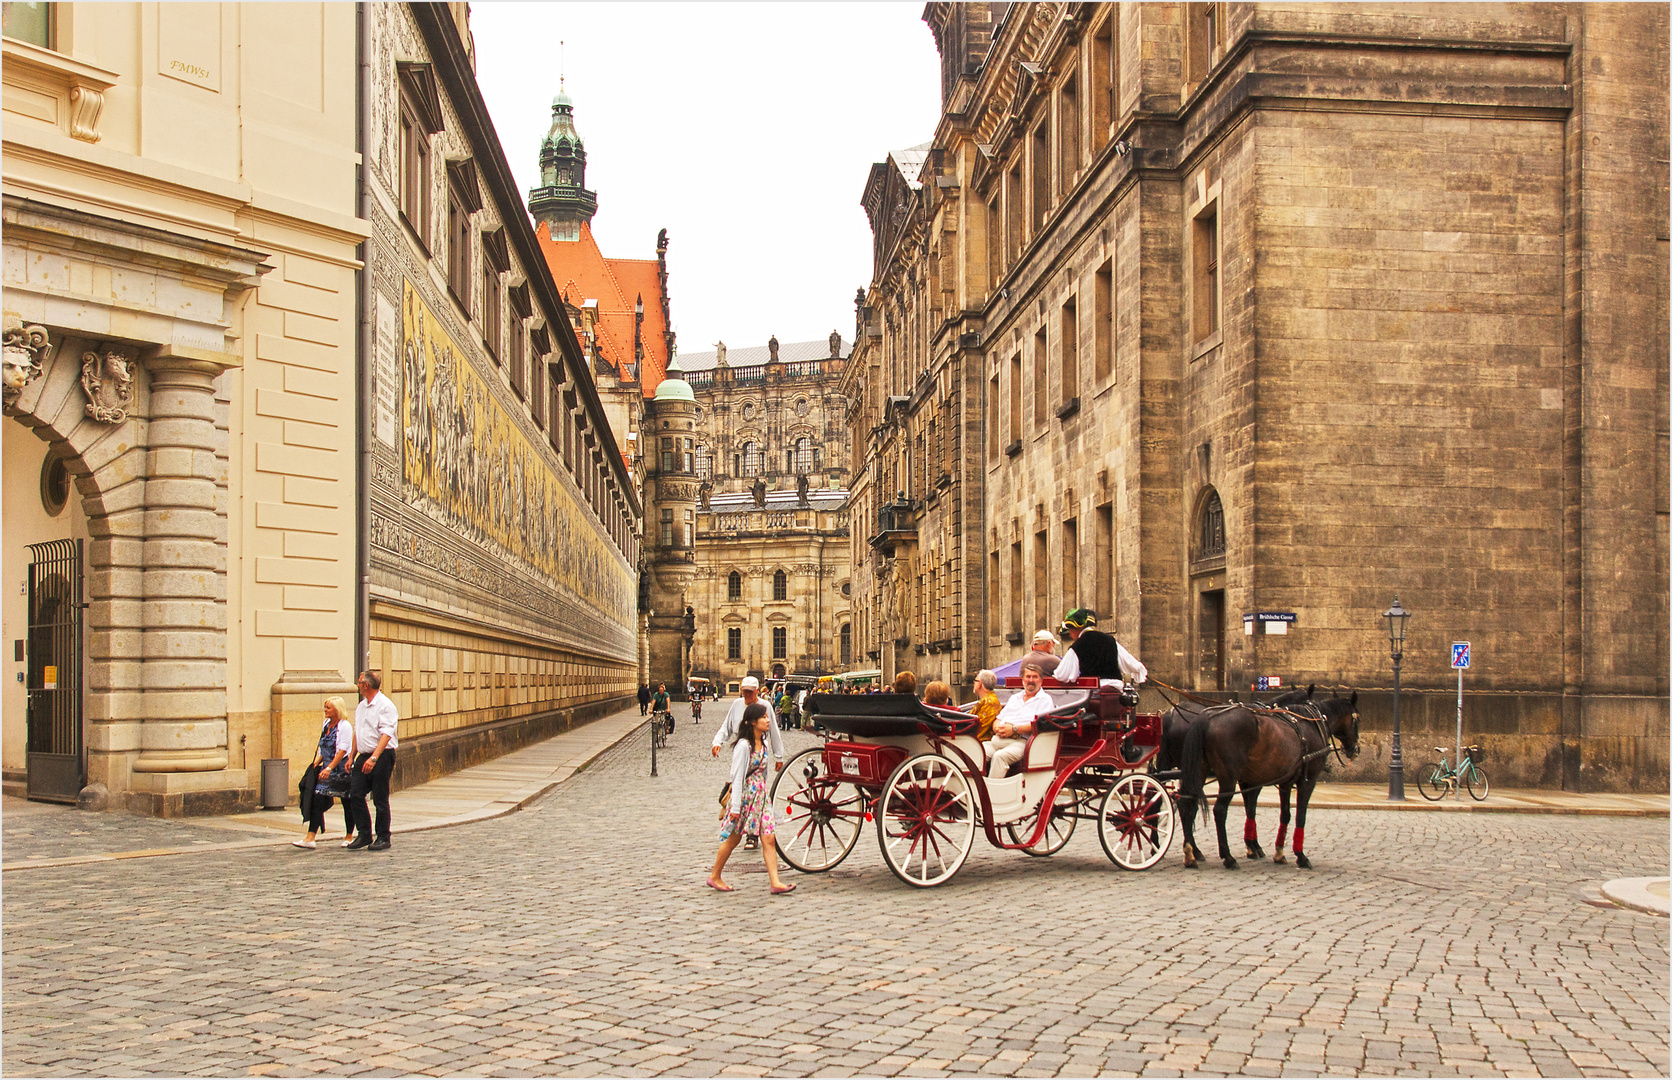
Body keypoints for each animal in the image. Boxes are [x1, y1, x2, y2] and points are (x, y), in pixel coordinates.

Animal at [1177, 695, 1357, 869]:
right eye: (1357, 718)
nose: (1355, 750)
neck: (1310, 724)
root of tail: (1206, 718)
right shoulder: (1307, 781)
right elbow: (1300, 816)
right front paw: (1300, 856)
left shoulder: (1283, 783)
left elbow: (1284, 815)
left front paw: (1278, 852)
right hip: (1228, 778)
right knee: (1219, 811)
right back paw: (1228, 857)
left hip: (1198, 772)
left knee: (1187, 805)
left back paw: (1190, 853)